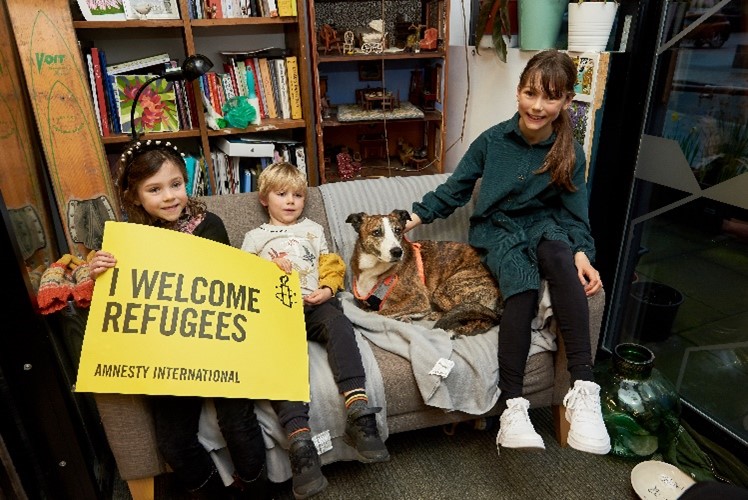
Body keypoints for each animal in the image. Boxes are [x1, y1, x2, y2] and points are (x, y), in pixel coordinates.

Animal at [346, 209, 502, 334]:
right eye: (376, 232)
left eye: (398, 231)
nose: (397, 252)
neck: (374, 268)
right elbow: (371, 310)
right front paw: (406, 317)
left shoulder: (419, 299)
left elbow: (378, 313)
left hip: (445, 290)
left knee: (482, 319)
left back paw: (455, 330)